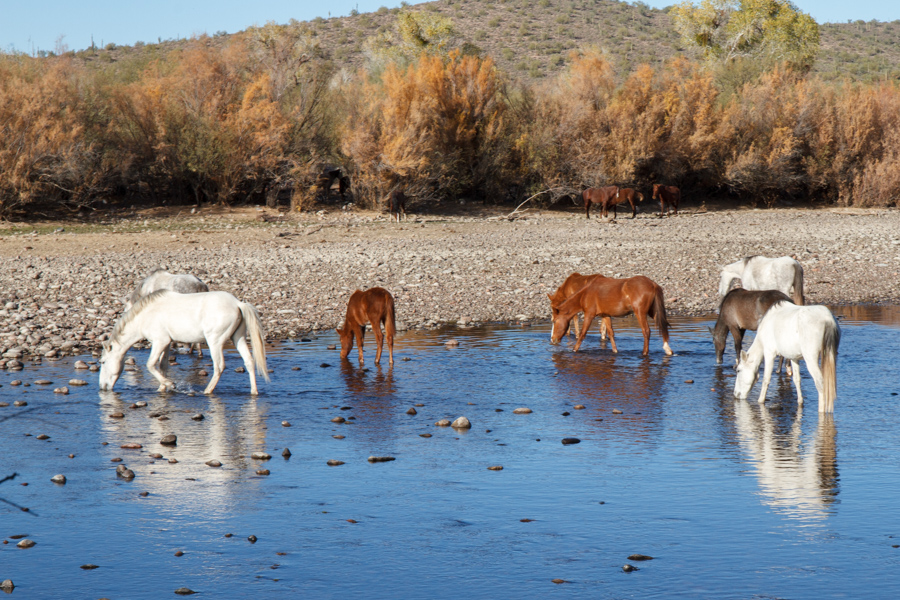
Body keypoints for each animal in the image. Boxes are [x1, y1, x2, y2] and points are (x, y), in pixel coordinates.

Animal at [99, 290, 268, 396]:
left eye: (102, 362)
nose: (102, 387)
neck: (145, 316)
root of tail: (238, 304)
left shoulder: (159, 341)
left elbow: (150, 364)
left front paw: (170, 384)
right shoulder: (167, 343)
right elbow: (162, 365)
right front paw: (162, 387)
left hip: (215, 342)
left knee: (219, 366)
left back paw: (207, 391)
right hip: (237, 338)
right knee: (249, 361)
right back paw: (254, 392)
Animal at [548, 276, 676, 356]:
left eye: (554, 321)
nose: (552, 339)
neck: (585, 293)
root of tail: (653, 284)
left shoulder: (589, 314)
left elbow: (582, 334)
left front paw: (574, 350)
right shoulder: (605, 315)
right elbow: (610, 333)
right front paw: (615, 351)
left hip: (640, 313)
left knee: (646, 331)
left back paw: (645, 353)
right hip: (653, 312)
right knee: (663, 326)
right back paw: (668, 349)